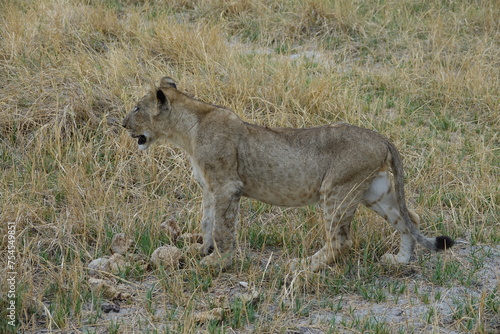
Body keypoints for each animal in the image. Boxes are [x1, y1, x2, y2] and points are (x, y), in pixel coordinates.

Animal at [123, 76, 456, 272]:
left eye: (137, 108)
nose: (123, 124)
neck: (188, 129)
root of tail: (382, 137)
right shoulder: (209, 188)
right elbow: (207, 222)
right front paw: (202, 250)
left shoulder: (227, 186)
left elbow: (222, 227)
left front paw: (218, 261)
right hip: (375, 192)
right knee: (411, 219)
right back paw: (400, 260)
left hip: (336, 190)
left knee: (341, 241)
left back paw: (304, 266)